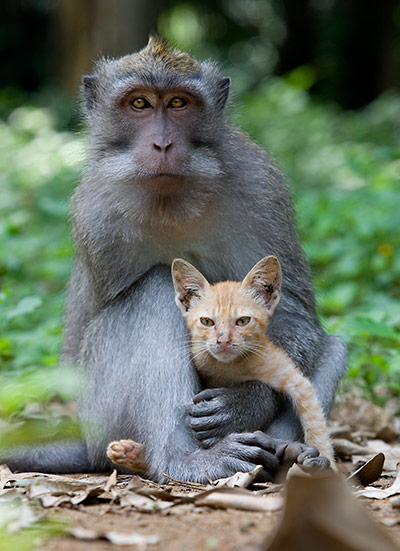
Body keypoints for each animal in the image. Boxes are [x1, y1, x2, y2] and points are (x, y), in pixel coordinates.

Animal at [172, 256, 334, 466]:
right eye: (207, 321)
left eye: (243, 321)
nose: (223, 340)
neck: (230, 368)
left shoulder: (296, 380)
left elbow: (315, 422)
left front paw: (326, 458)